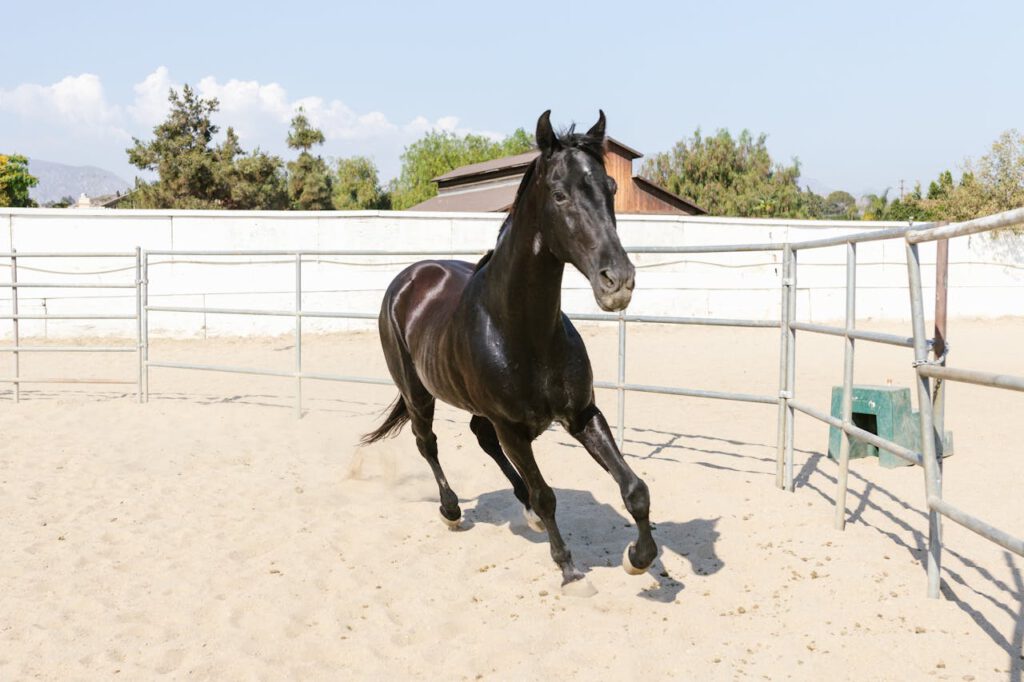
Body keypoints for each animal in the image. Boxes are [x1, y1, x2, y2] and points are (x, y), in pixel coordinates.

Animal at [364, 110, 659, 585]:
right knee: (428, 443)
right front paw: (568, 568)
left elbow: (635, 488)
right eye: (559, 194)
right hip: (418, 394)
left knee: (480, 437)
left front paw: (638, 557)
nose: (618, 282)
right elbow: (546, 494)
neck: (523, 332)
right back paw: (451, 510)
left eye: (611, 188)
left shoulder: (582, 414)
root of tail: (410, 276)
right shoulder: (513, 429)